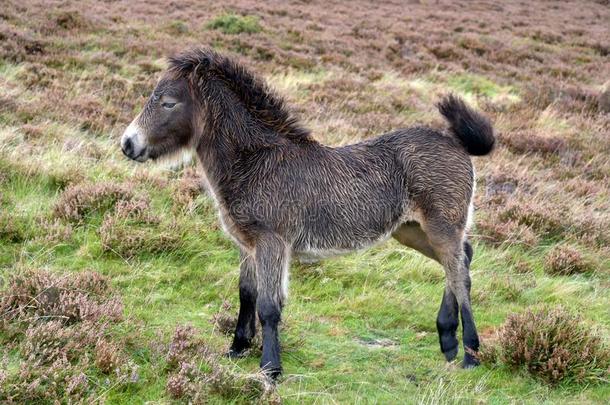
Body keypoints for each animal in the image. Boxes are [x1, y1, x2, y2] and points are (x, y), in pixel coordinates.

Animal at [120, 47, 494, 378]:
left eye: (168, 102)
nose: (128, 144)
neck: (256, 163)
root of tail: (455, 143)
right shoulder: (248, 245)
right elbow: (246, 293)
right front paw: (237, 348)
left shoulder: (272, 242)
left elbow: (268, 306)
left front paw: (271, 368)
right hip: (413, 230)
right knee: (462, 259)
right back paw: (447, 340)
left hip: (440, 225)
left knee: (459, 274)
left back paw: (470, 354)